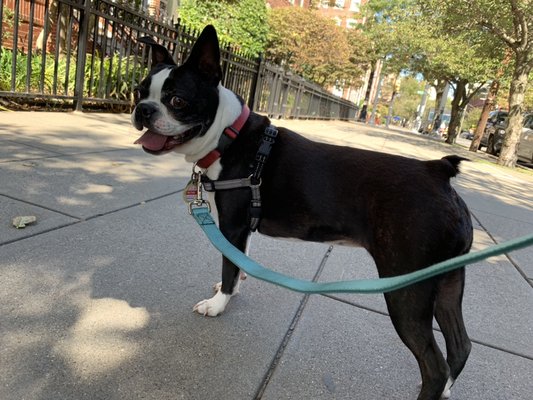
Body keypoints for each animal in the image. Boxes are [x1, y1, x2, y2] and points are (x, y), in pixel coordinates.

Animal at [131, 25, 472, 400]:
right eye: (139, 91)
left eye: (177, 101)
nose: (143, 110)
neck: (228, 135)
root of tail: (438, 172)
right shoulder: (242, 229)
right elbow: (238, 259)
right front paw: (236, 284)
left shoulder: (232, 225)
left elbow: (229, 265)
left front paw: (219, 303)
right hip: (448, 281)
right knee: (461, 346)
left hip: (408, 288)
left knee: (434, 366)